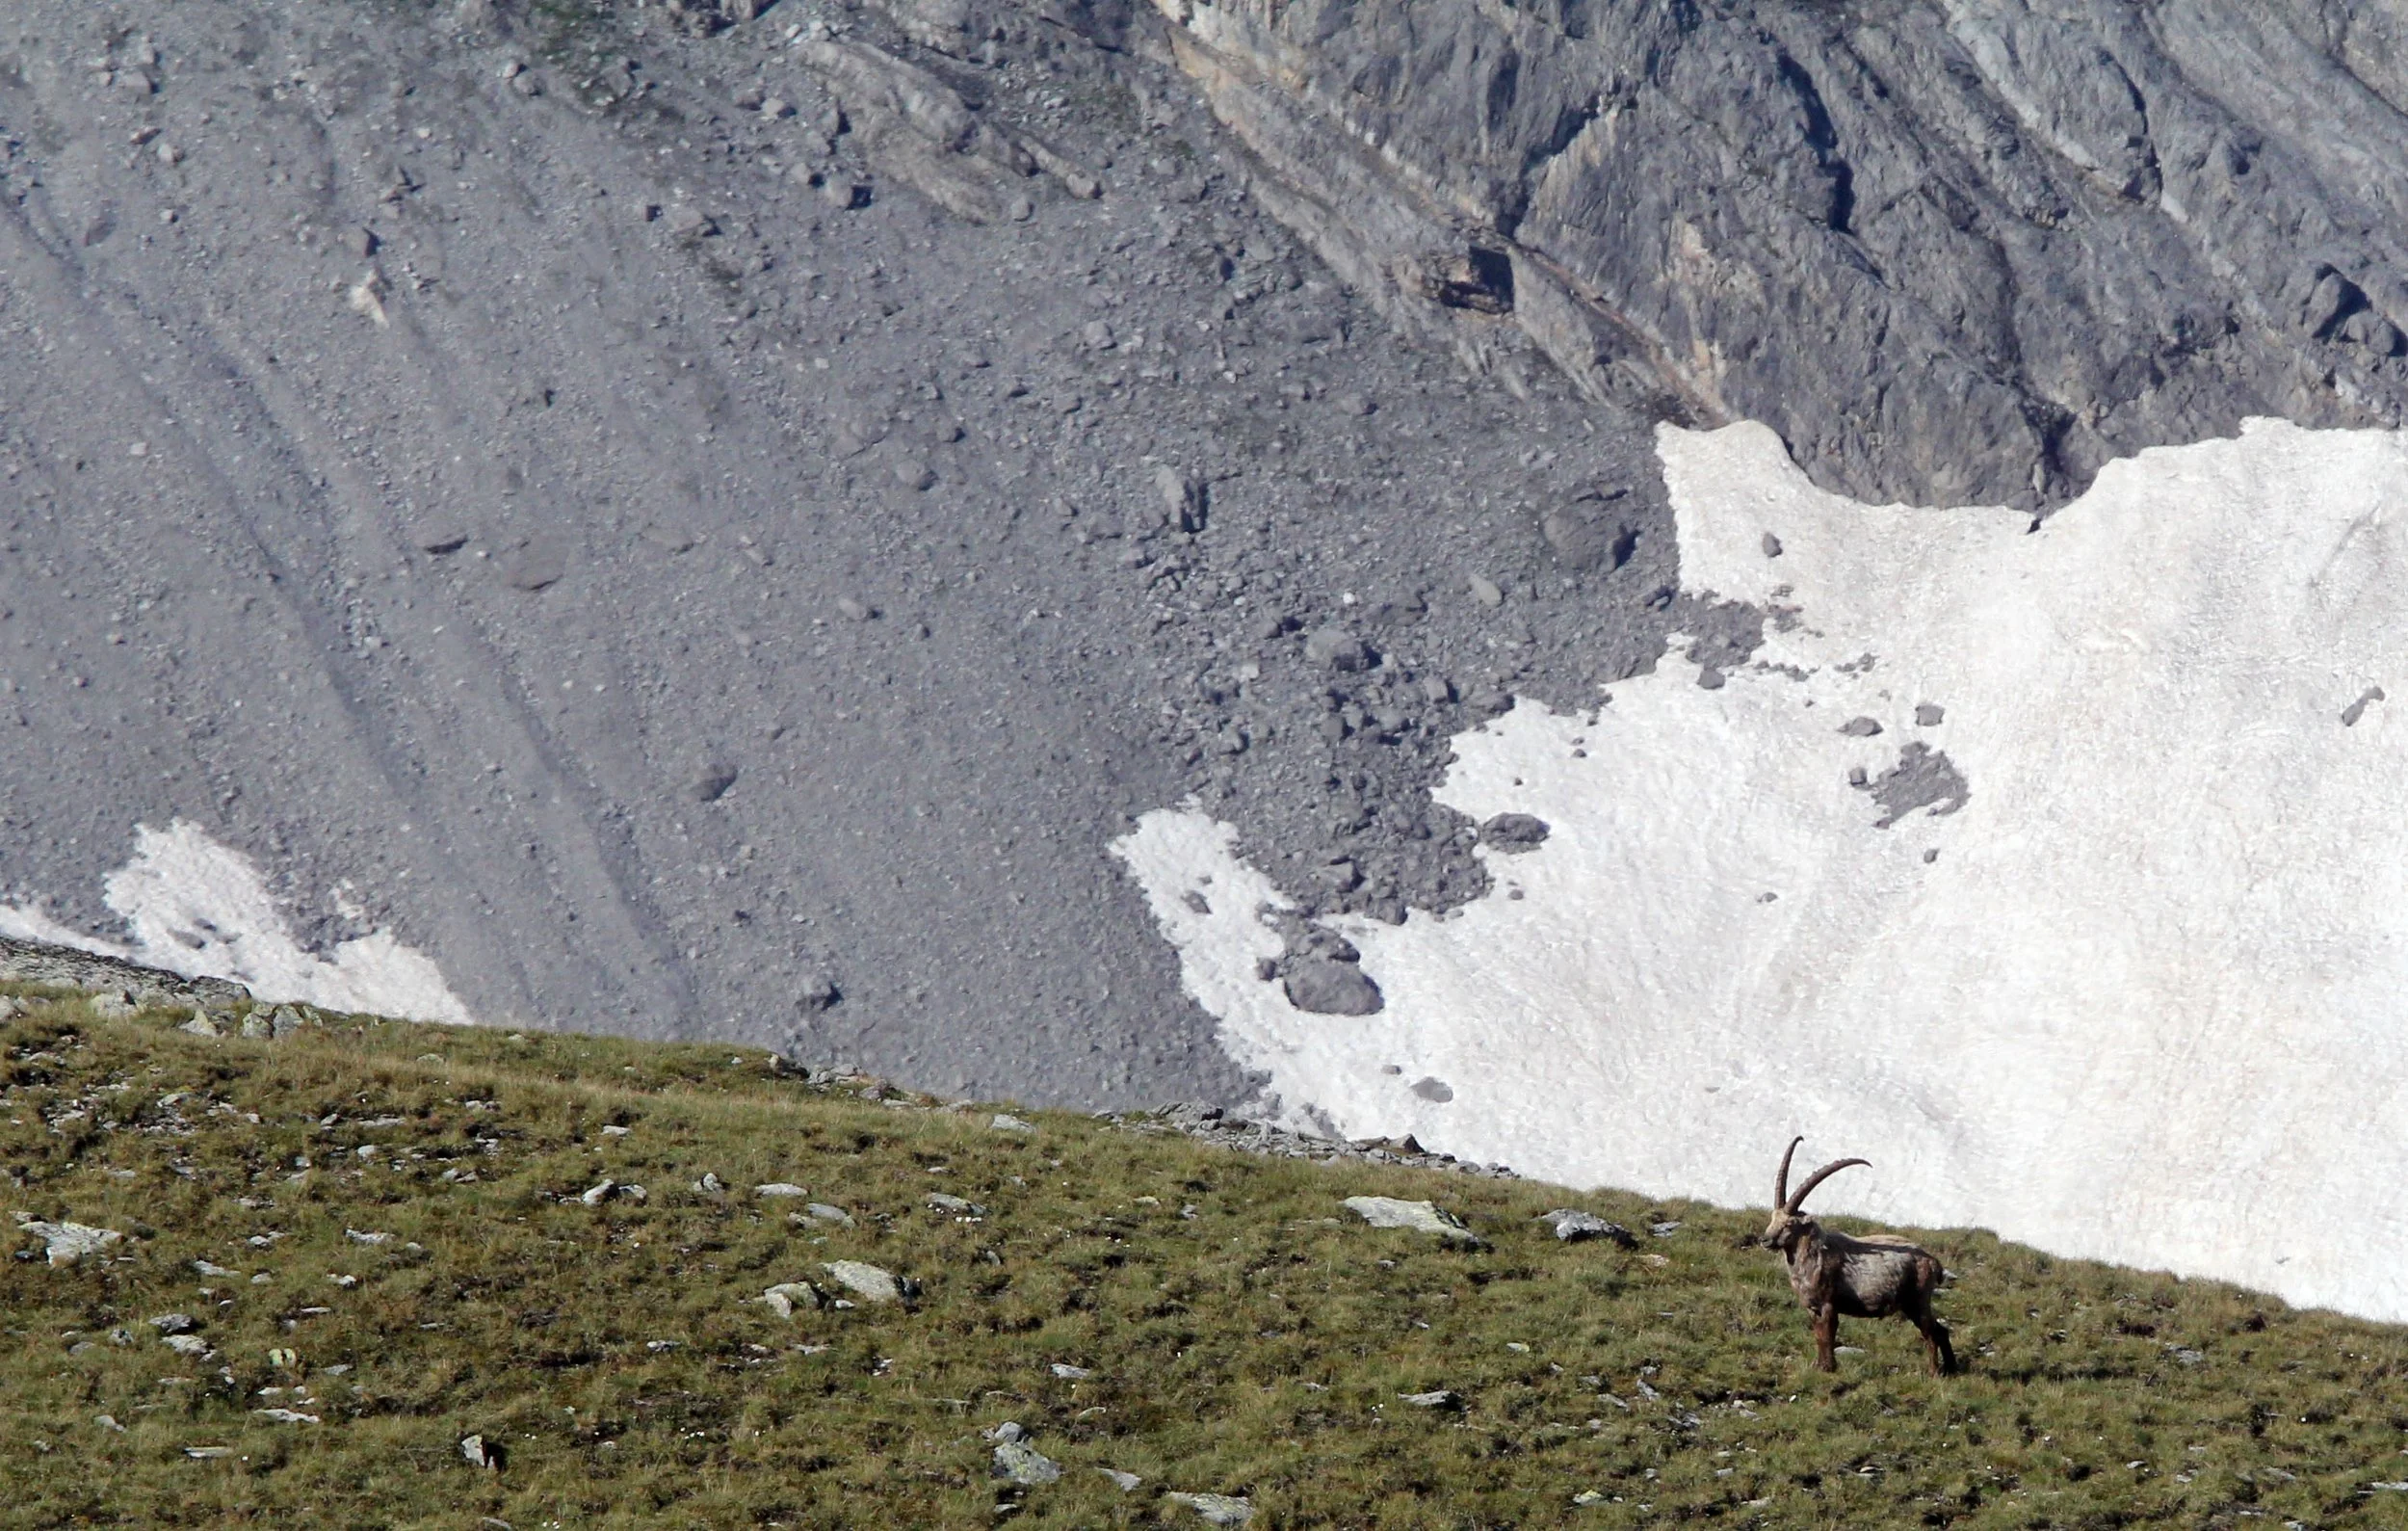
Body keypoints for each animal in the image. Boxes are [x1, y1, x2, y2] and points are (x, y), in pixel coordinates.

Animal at [1761, 1137, 1956, 1376]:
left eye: (1789, 1223)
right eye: (1773, 1217)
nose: (1765, 1240)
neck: (1813, 1257)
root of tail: (1934, 1263)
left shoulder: (1828, 1303)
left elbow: (1828, 1334)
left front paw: (1829, 1368)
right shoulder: (1812, 1307)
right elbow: (1818, 1335)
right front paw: (1819, 1366)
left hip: (1917, 1299)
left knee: (1930, 1333)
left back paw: (1933, 1372)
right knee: (1941, 1330)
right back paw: (1951, 1368)